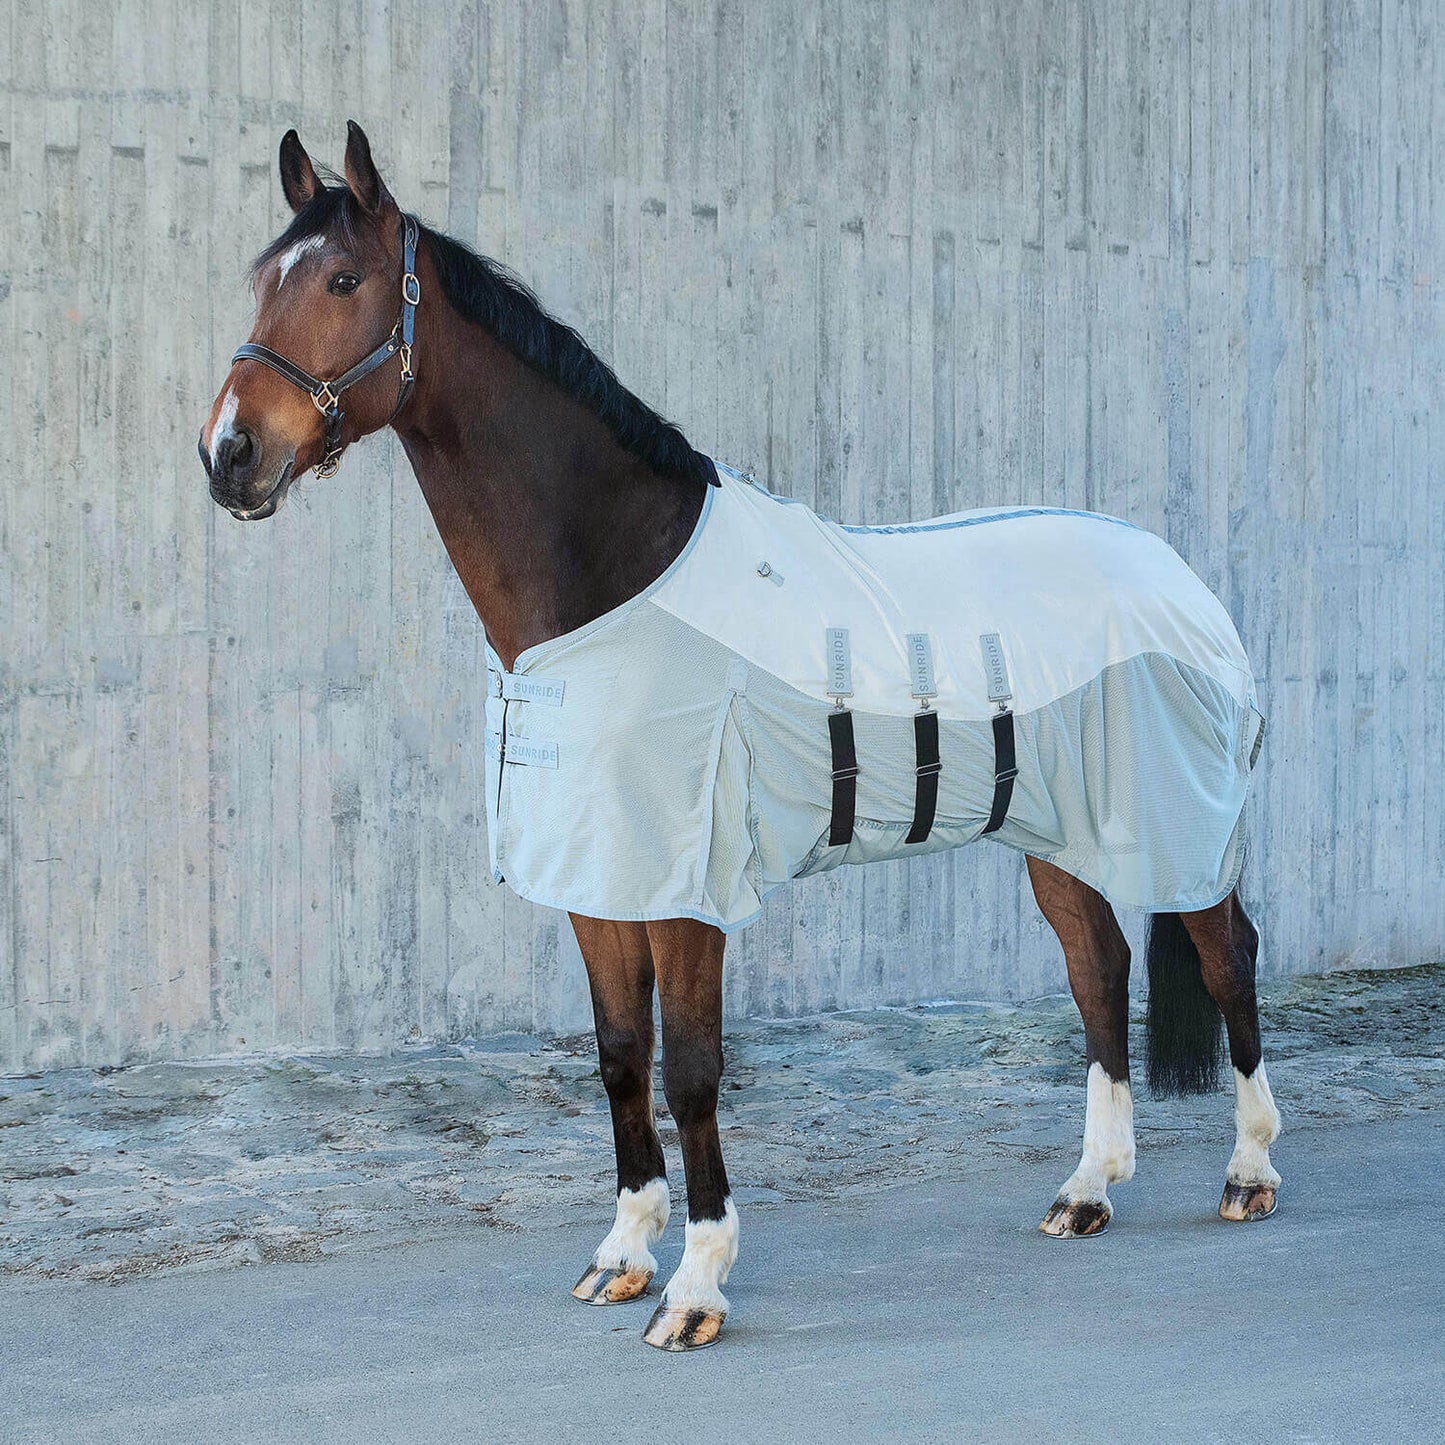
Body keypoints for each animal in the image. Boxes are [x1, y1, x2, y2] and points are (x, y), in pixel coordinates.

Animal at [199, 123, 1282, 1352]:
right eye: (260, 280)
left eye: (342, 281)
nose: (230, 455)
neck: (614, 578)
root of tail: (1175, 574)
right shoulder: (600, 876)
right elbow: (620, 1060)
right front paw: (622, 1254)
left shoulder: (688, 887)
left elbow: (692, 1071)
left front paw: (697, 1286)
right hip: (1064, 833)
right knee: (1097, 971)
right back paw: (1086, 1190)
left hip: (1175, 821)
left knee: (1225, 955)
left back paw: (1246, 1174)